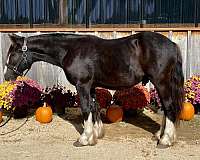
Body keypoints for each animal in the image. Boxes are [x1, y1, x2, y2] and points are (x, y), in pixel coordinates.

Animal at [4, 31, 184, 148]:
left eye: (13, 54)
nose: (6, 76)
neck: (70, 50)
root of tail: (172, 45)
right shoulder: (90, 86)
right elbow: (93, 107)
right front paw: (96, 134)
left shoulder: (82, 85)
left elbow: (85, 109)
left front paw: (84, 139)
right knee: (166, 108)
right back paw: (160, 135)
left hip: (161, 82)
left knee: (169, 107)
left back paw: (165, 140)